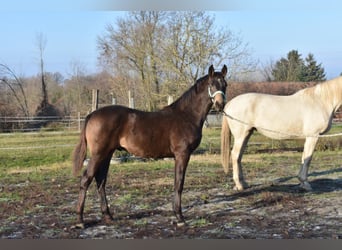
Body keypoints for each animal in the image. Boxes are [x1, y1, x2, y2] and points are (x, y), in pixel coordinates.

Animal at [72, 65, 227, 227]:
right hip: (98, 154)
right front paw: (179, 217)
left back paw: (108, 216)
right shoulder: (182, 154)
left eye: (225, 84)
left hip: (107, 154)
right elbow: (179, 183)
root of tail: (91, 115)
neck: (186, 116)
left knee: (101, 181)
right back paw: (80, 220)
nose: (220, 104)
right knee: (86, 179)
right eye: (212, 84)